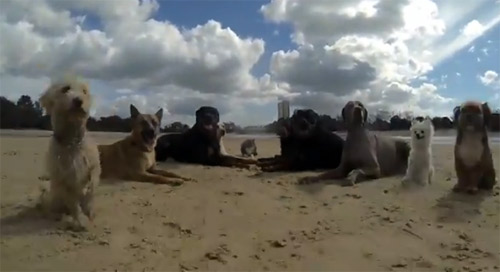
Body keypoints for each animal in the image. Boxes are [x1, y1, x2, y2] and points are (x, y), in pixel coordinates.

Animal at [38, 76, 100, 230]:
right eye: (65, 89)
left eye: (84, 91)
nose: (78, 101)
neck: (72, 141)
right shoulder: (65, 179)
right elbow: (74, 204)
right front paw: (81, 220)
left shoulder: (93, 166)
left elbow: (91, 190)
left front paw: (89, 212)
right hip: (55, 198)